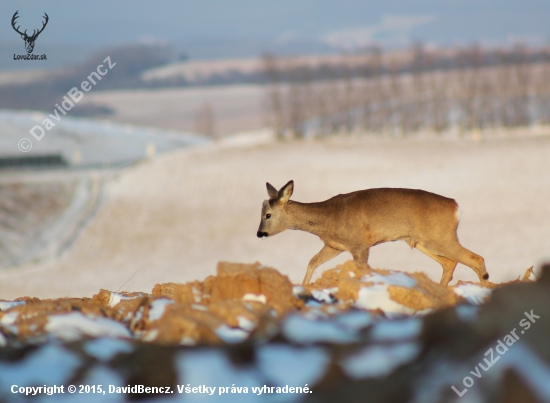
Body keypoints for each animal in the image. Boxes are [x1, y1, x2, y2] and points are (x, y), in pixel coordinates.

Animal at [258, 180, 492, 288]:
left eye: (268, 215)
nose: (260, 233)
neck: (328, 218)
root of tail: (455, 206)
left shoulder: (360, 244)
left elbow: (362, 269)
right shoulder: (334, 245)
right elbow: (312, 262)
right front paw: (304, 287)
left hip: (440, 237)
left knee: (476, 258)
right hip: (422, 241)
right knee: (450, 263)